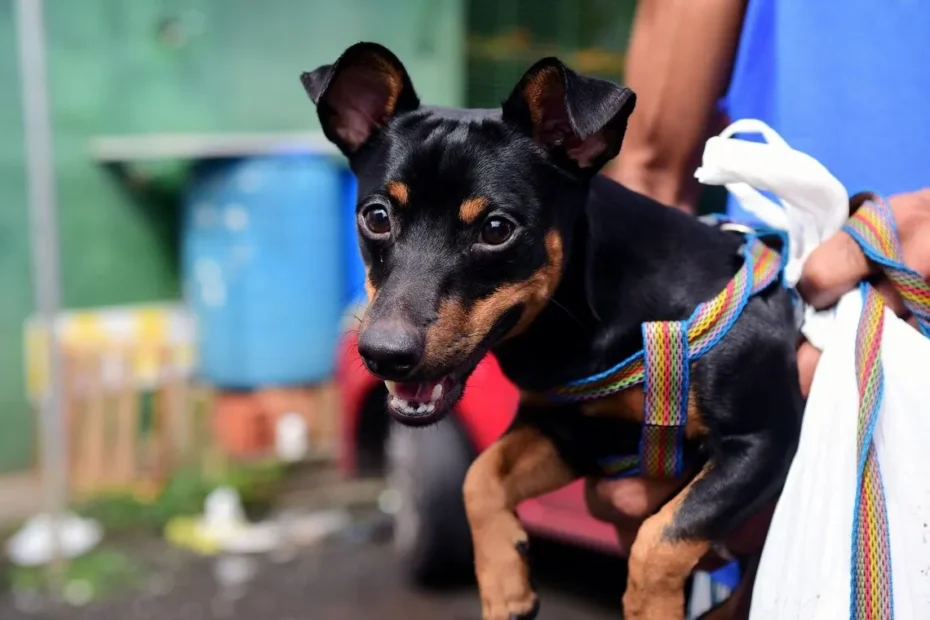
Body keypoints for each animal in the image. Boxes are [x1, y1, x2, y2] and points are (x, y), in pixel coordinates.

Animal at [300, 41, 800, 616]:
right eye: (376, 217)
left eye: (497, 229)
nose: (383, 354)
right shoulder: (570, 431)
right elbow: (480, 476)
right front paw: (504, 587)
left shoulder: (763, 441)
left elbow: (660, 537)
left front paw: (649, 606)